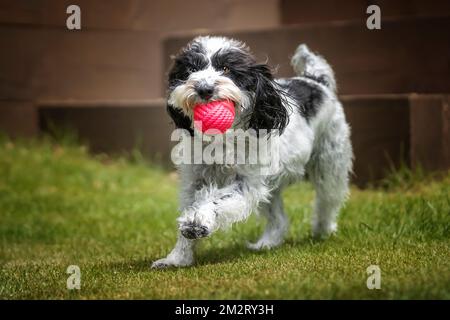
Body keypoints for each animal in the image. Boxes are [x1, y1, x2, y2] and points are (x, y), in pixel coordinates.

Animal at [153, 36, 354, 268]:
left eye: (226, 68)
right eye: (191, 69)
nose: (204, 89)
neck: (222, 140)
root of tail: (315, 80)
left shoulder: (247, 183)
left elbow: (216, 200)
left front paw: (197, 221)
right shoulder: (194, 180)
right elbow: (190, 211)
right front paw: (177, 258)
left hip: (329, 163)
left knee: (328, 200)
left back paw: (323, 231)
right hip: (270, 186)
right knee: (279, 219)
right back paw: (267, 243)